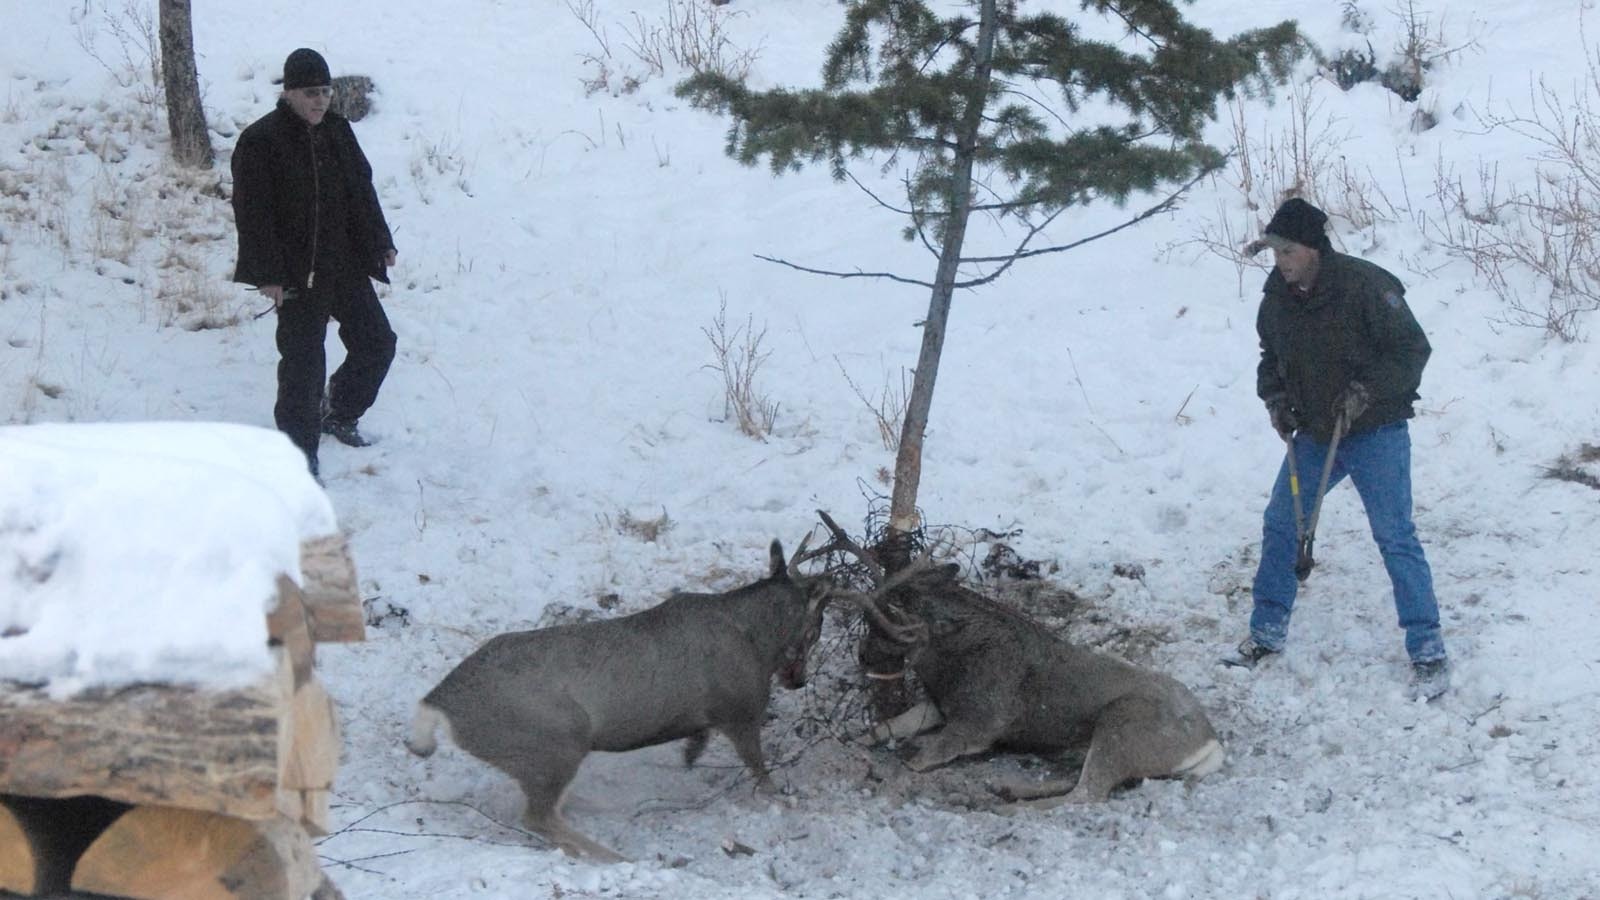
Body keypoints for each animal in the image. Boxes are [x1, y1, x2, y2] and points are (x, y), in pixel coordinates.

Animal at [403, 534, 825, 858]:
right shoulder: (740, 706)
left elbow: (700, 738)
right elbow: (759, 768)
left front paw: (691, 754)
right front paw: (783, 798)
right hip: (555, 739)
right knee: (538, 816)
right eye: (817, 627)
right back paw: (613, 857)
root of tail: (437, 704)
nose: (799, 681)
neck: (757, 639)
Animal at [819, 512, 1216, 807]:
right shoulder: (939, 704)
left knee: (1087, 794)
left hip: (1122, 726)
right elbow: (885, 727)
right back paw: (1007, 790)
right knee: (1078, 783)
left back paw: (1004, 802)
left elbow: (920, 758)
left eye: (893, 628)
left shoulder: (980, 722)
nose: (863, 656)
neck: (950, 668)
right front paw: (850, 740)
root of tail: (1210, 744)